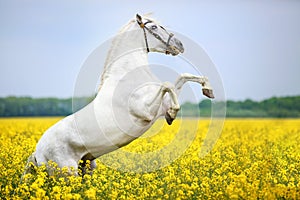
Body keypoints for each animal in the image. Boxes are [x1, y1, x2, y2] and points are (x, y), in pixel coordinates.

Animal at [25, 14, 213, 175]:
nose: (179, 45)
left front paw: (208, 90)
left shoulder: (160, 106)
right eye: (153, 26)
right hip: (67, 173)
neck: (127, 75)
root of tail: (37, 153)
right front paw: (173, 114)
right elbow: (167, 85)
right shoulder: (146, 111)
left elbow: (181, 78)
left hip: (86, 166)